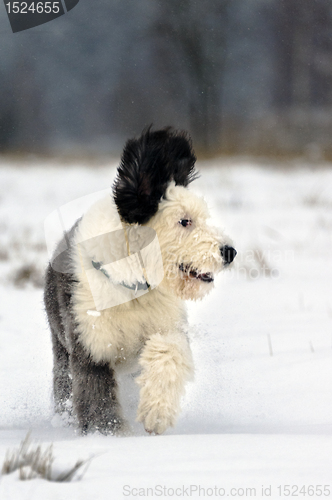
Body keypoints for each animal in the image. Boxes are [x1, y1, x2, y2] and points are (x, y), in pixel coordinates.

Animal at [44, 127, 236, 436]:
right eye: (184, 221)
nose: (230, 251)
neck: (132, 286)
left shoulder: (166, 323)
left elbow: (169, 351)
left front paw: (156, 413)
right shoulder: (91, 343)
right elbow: (96, 395)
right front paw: (106, 433)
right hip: (60, 344)